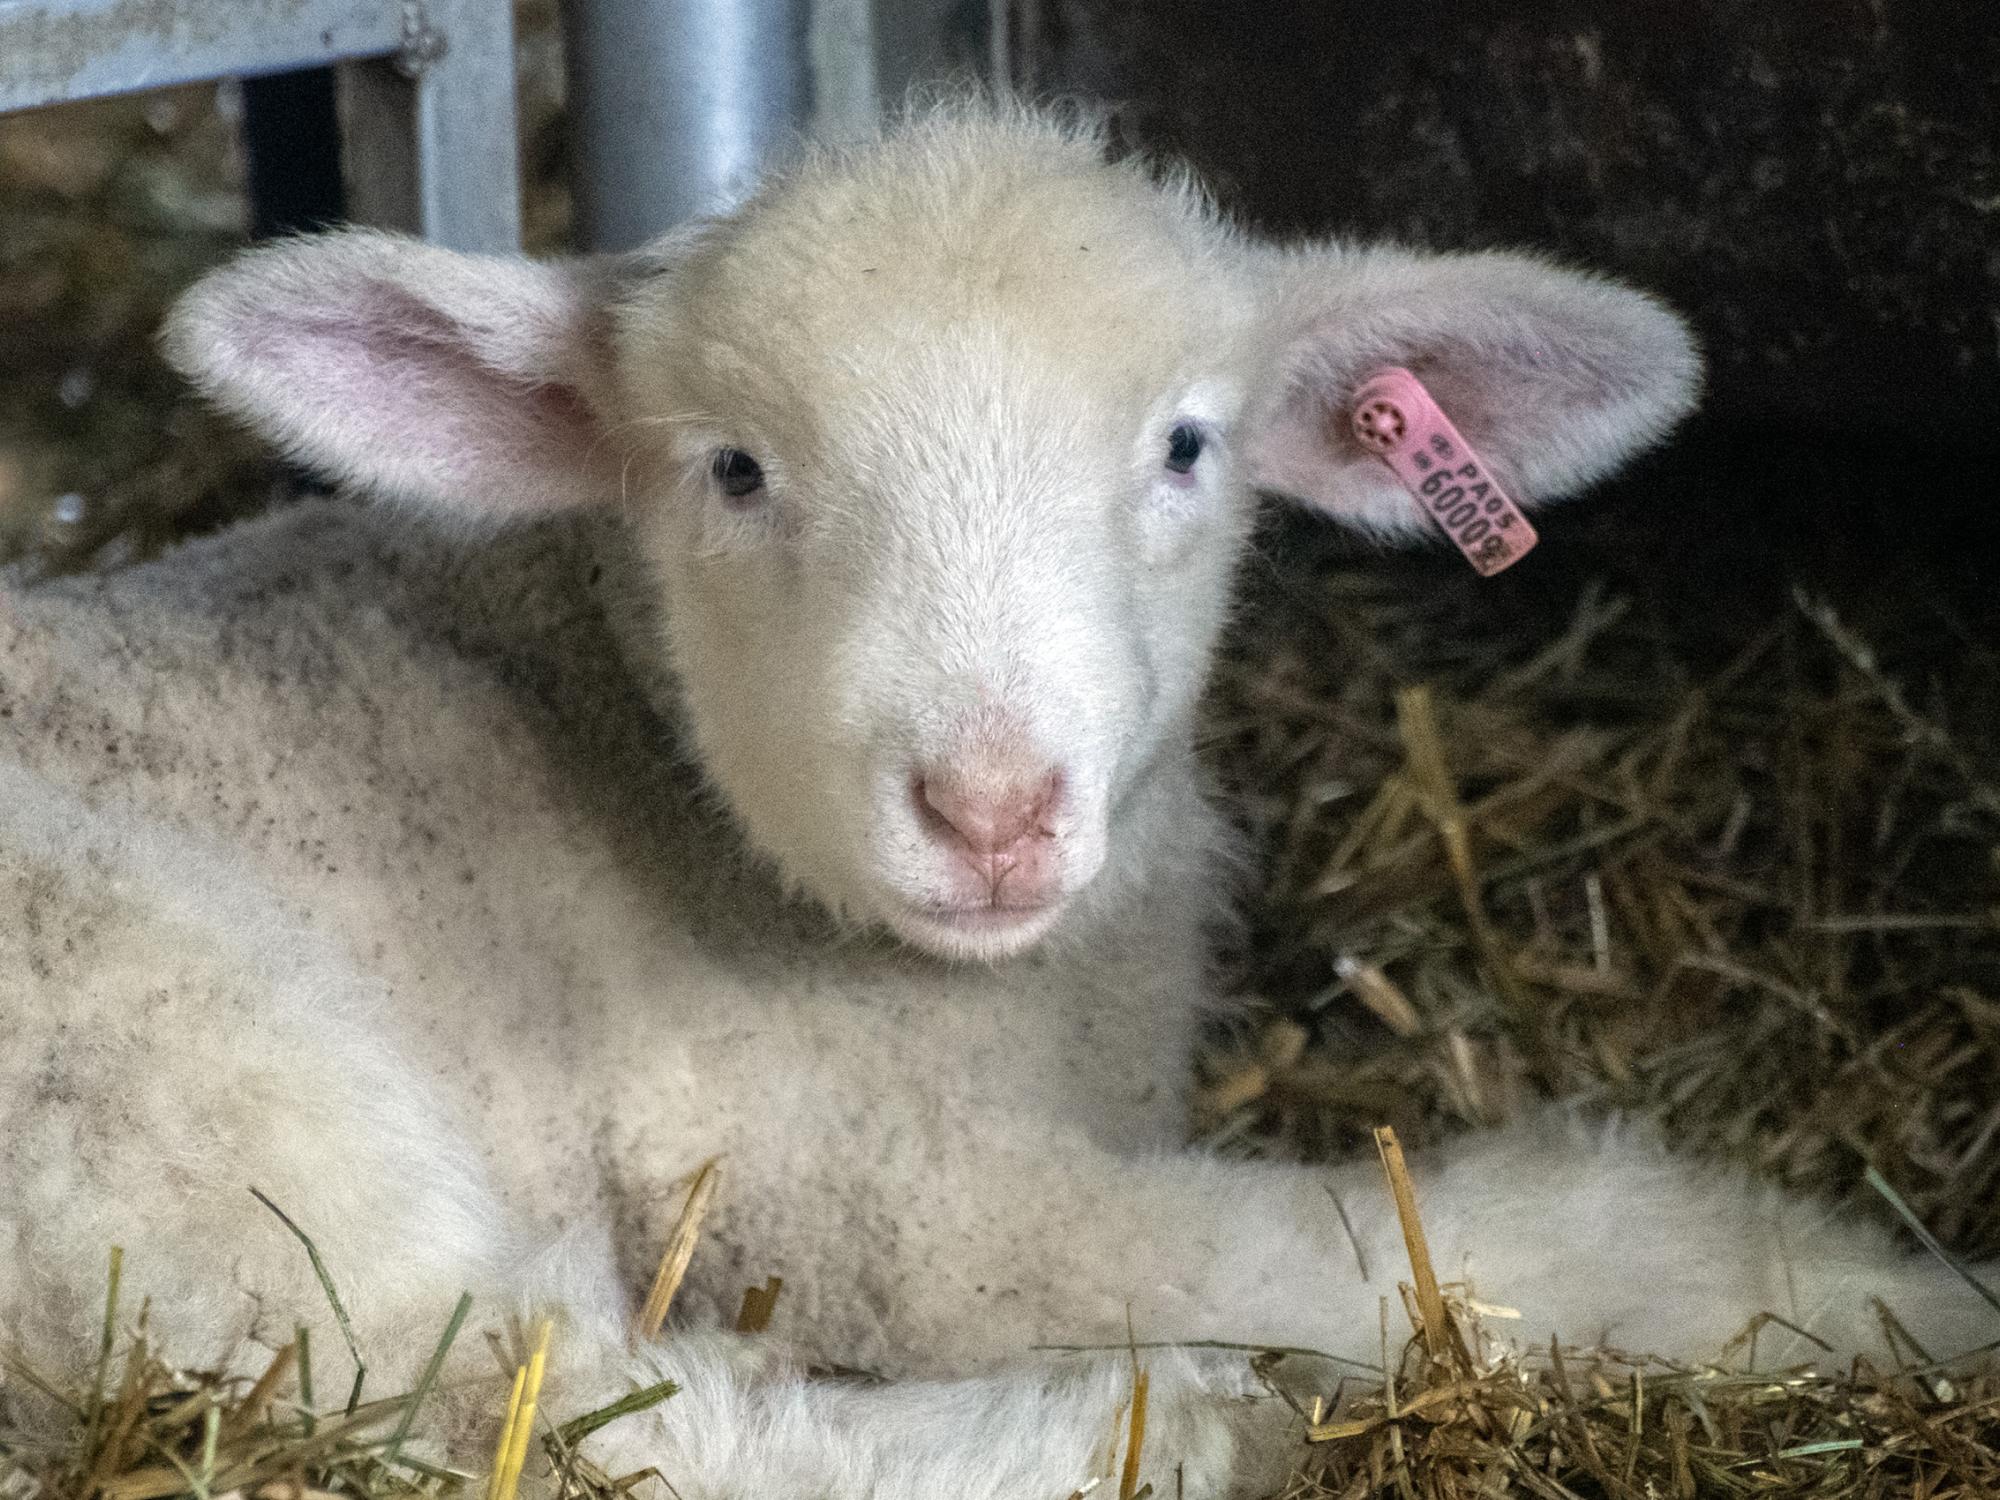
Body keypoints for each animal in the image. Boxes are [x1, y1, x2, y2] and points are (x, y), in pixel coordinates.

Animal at [2, 102, 1989, 1498]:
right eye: (734, 471)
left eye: (1185, 444)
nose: (988, 807)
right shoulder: (875, 1200)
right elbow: (1433, 1257)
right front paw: (1886, 1299)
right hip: (163, 1056)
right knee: (519, 1399)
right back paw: (1168, 1436)